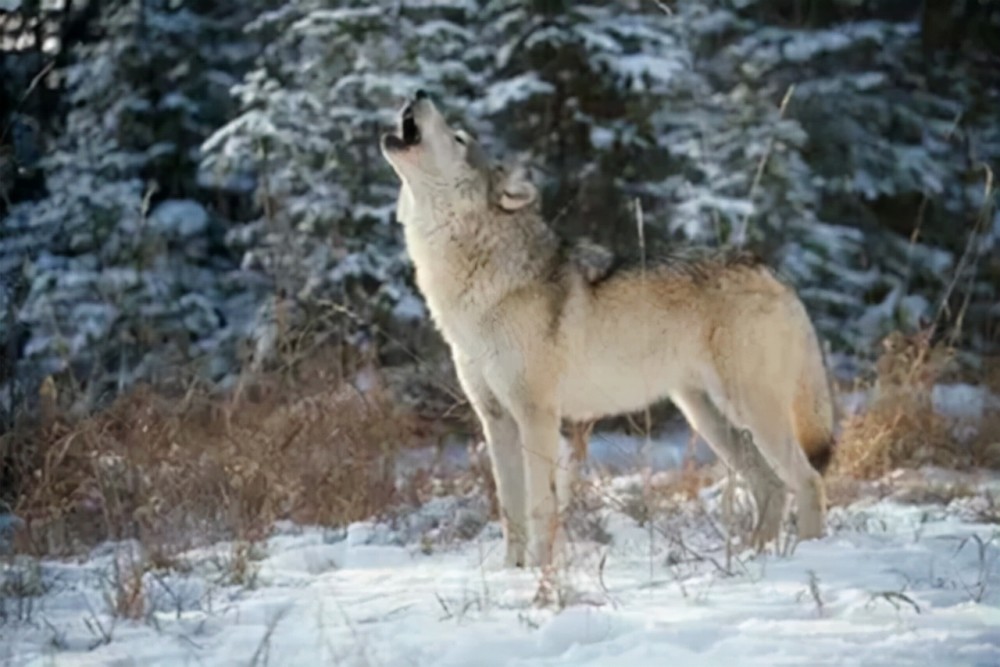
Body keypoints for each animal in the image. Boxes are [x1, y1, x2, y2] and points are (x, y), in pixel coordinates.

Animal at [380, 90, 836, 568]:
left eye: (459, 137)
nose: (419, 93)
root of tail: (774, 272)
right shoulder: (497, 419)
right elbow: (510, 512)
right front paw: (513, 572)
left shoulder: (537, 417)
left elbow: (539, 508)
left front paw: (540, 573)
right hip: (708, 418)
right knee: (771, 485)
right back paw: (752, 558)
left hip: (750, 410)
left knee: (808, 480)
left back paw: (807, 557)